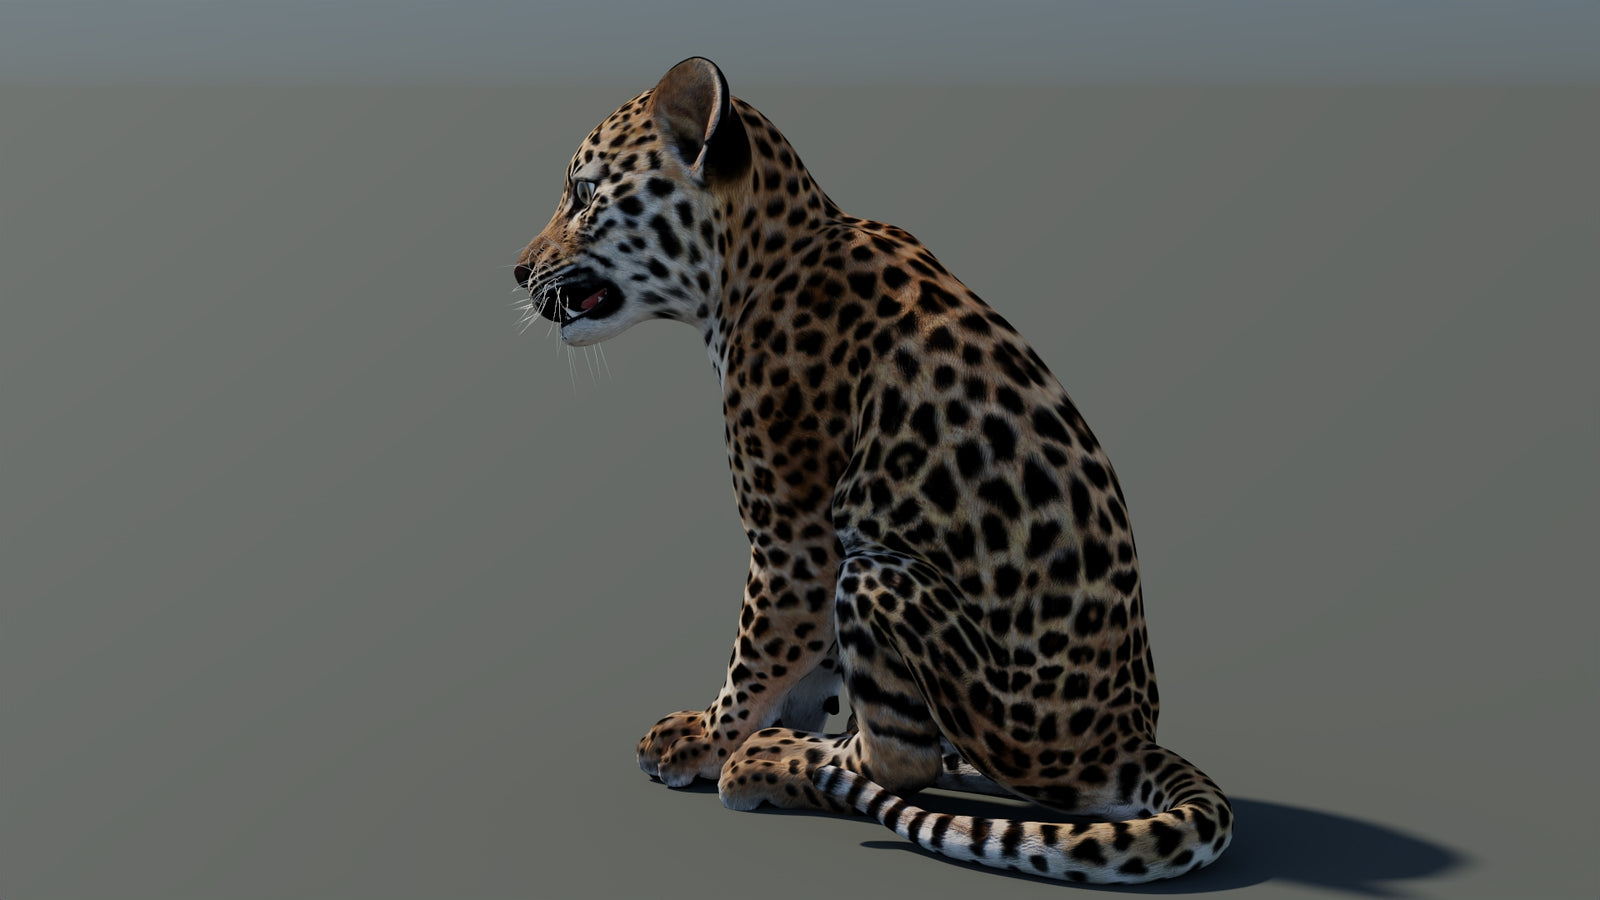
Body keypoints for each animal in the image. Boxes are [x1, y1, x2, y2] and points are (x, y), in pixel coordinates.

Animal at [513, 57, 1232, 884]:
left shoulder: (795, 541)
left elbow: (756, 650)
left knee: (900, 763)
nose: (517, 271)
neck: (749, 267)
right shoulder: (810, 552)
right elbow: (808, 660)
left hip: (881, 574)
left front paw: (711, 739)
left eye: (584, 194)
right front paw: (773, 718)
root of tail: (1128, 737)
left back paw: (774, 762)